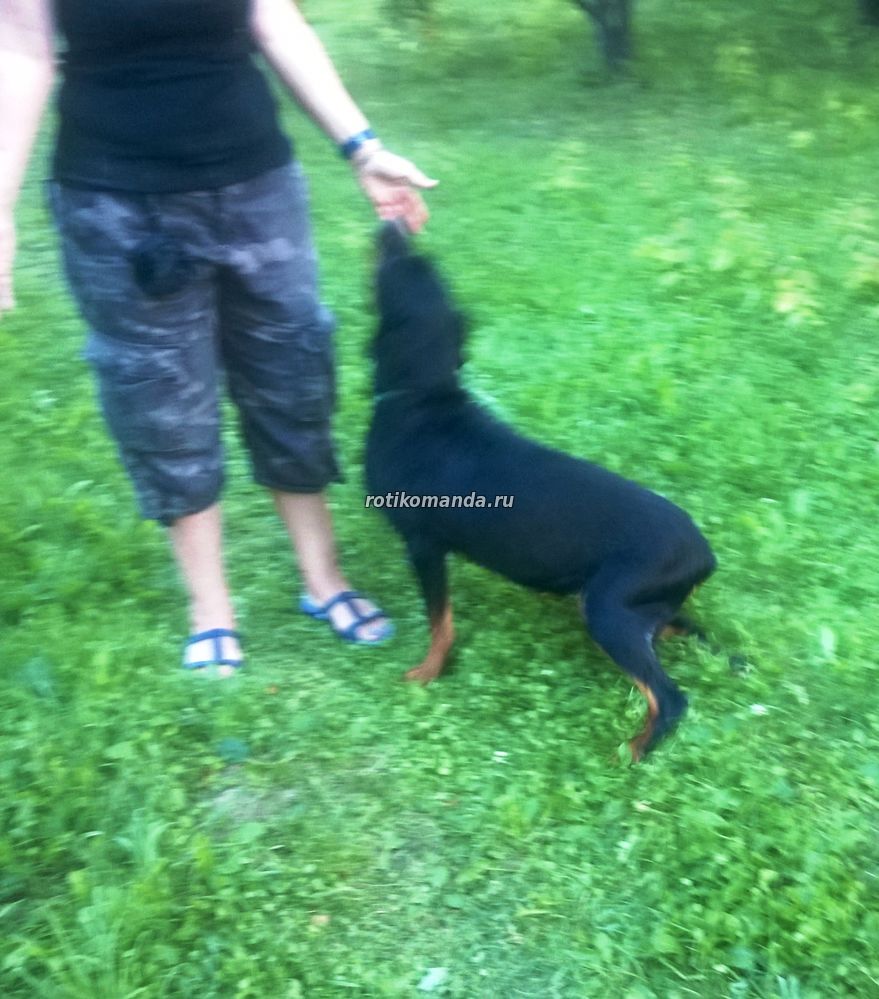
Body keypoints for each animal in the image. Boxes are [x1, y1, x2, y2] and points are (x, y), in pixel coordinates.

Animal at [366, 222, 717, 760]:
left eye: (398, 267)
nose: (393, 226)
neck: (422, 399)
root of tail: (704, 554)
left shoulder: (423, 545)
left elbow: (439, 622)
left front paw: (427, 674)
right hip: (632, 607)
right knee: (679, 631)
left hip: (608, 609)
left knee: (669, 698)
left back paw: (632, 752)